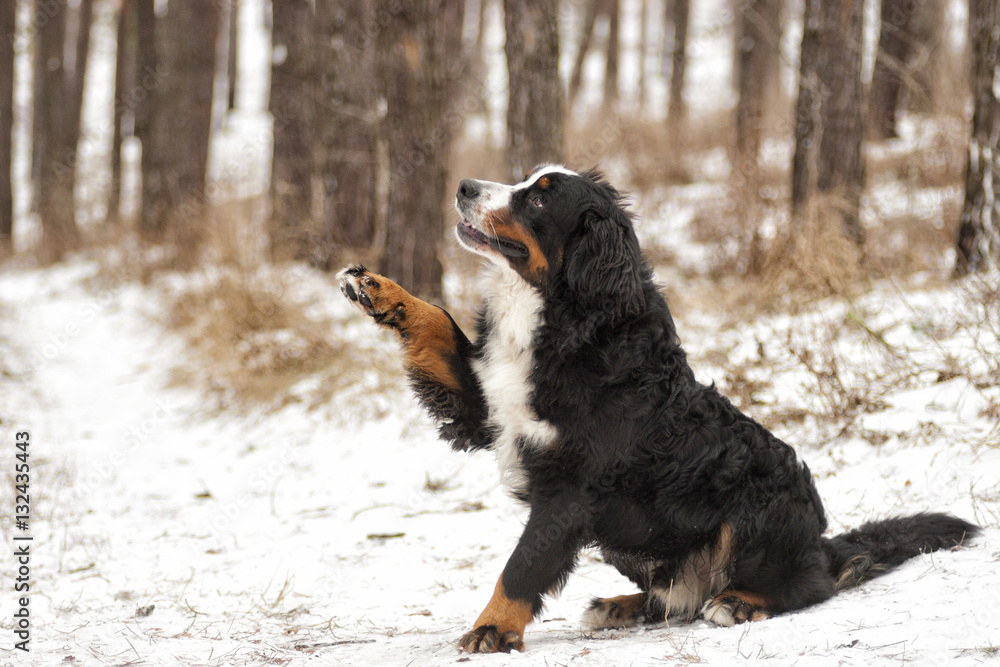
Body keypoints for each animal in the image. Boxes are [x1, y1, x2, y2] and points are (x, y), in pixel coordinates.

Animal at [336, 164, 976, 656]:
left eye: (539, 195)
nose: (465, 185)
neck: (565, 314)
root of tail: (820, 540)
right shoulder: (487, 407)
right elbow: (436, 323)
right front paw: (379, 289)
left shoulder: (572, 488)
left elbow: (523, 564)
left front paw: (491, 630)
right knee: (676, 598)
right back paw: (622, 605)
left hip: (756, 509)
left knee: (807, 585)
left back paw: (739, 603)